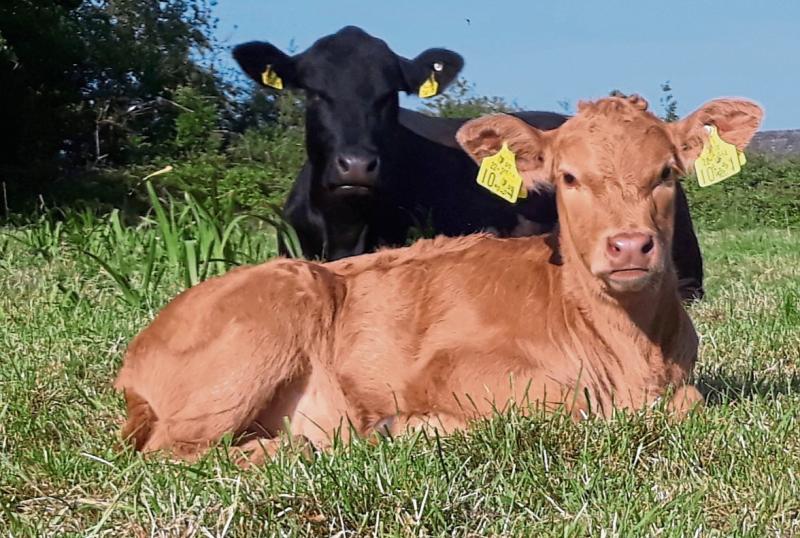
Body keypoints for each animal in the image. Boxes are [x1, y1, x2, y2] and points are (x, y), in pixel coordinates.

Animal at [114, 94, 763, 465]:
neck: (631, 353)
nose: (629, 244)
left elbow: (691, 401)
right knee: (172, 453)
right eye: (570, 177)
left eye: (666, 174)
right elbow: (560, 403)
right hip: (266, 327)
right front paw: (412, 427)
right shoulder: (447, 367)